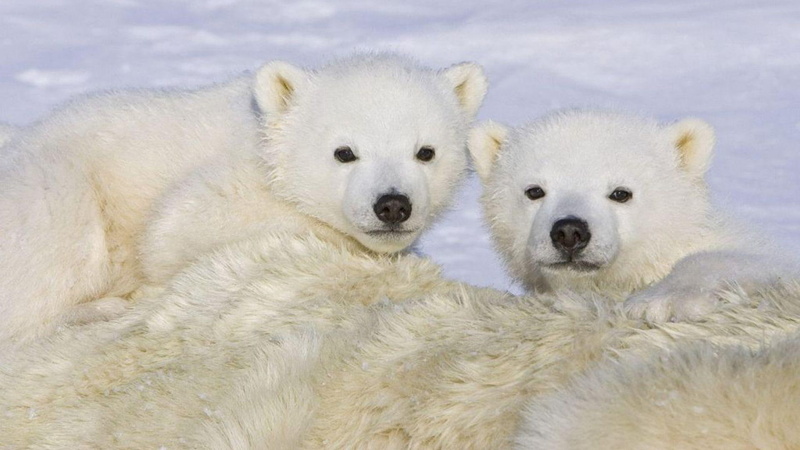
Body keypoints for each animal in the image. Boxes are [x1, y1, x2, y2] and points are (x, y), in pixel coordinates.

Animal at [0, 53, 487, 348]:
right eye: (344, 152)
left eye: (426, 151)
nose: (392, 205)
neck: (267, 141)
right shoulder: (226, 185)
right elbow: (174, 233)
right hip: (55, 185)